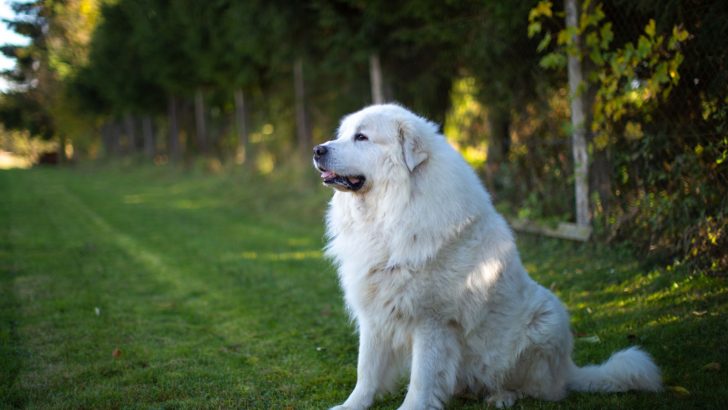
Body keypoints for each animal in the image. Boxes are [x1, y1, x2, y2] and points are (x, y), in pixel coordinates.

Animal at [312, 103, 660, 410]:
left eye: (361, 137)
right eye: (343, 135)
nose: (318, 150)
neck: (393, 212)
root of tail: (568, 369)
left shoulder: (431, 321)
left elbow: (422, 379)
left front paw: (413, 406)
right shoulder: (375, 313)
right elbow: (366, 371)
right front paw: (351, 405)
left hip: (546, 319)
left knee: (540, 391)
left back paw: (502, 397)